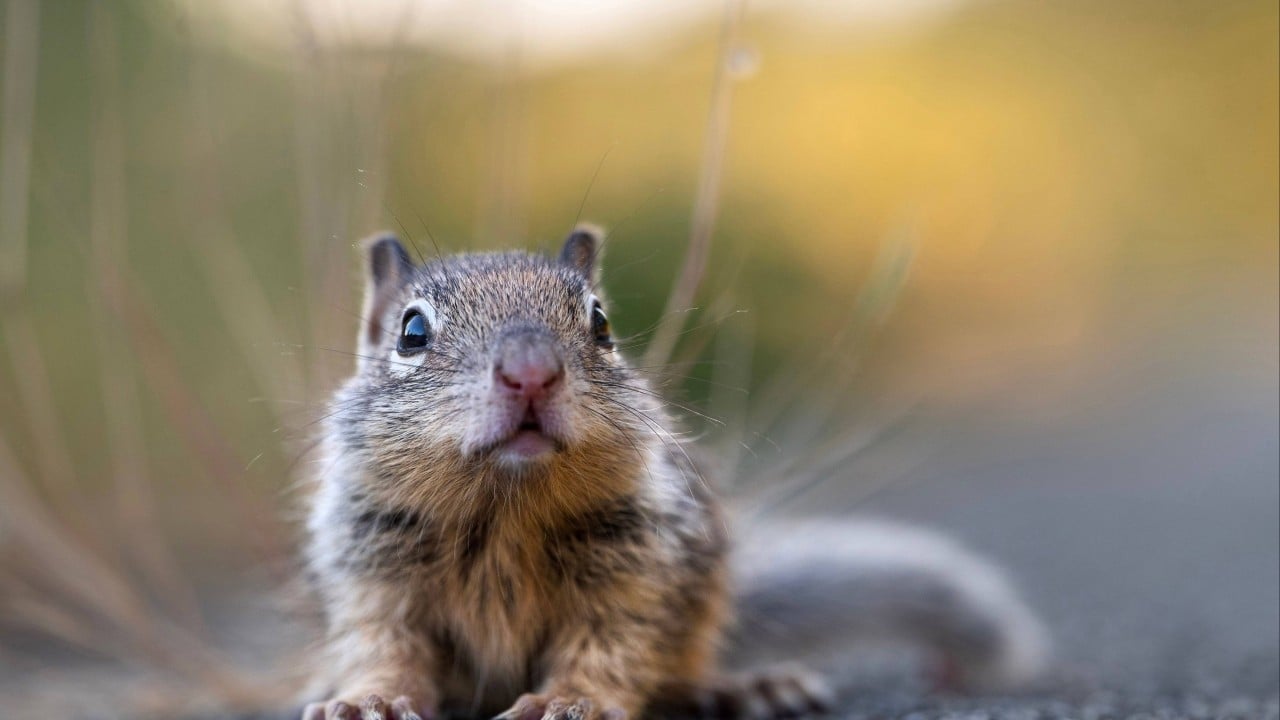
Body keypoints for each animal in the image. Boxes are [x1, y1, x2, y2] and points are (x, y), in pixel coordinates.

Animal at [299, 225, 1048, 720]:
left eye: (601, 322)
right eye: (411, 332)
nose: (531, 373)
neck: (506, 505)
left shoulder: (642, 566)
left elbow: (614, 646)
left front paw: (569, 700)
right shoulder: (374, 568)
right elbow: (383, 645)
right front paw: (368, 698)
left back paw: (743, 688)